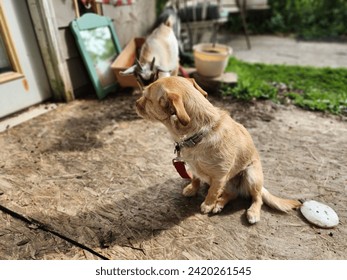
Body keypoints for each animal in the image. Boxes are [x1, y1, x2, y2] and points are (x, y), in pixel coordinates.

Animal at [136, 76, 302, 223]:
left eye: (146, 98)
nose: (135, 103)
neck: (200, 133)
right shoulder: (194, 168)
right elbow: (195, 179)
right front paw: (192, 189)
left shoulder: (220, 177)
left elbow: (212, 192)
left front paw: (207, 205)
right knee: (231, 194)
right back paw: (219, 204)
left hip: (251, 176)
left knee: (257, 197)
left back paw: (251, 212)